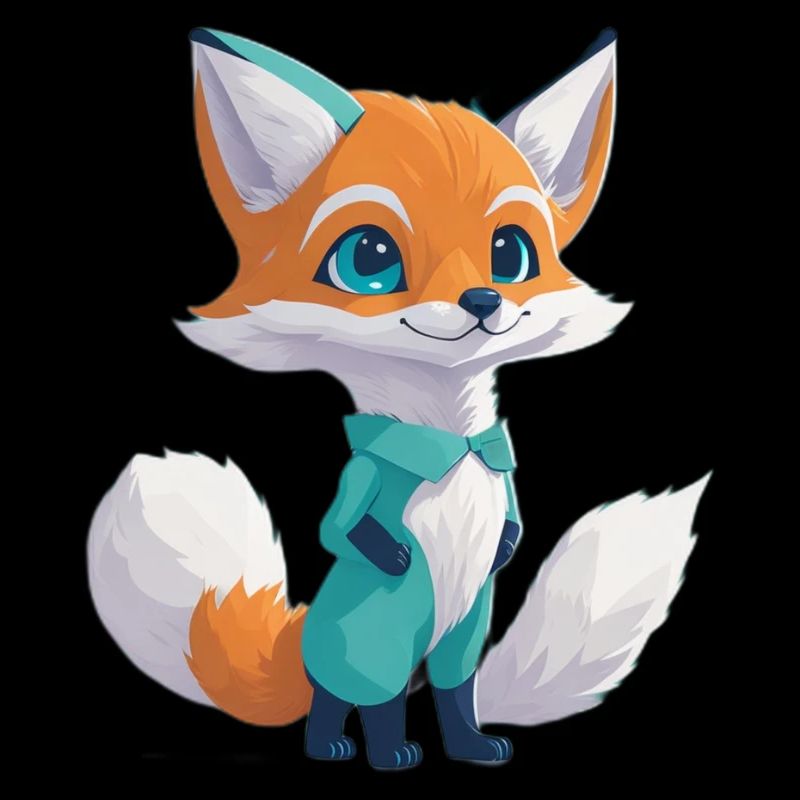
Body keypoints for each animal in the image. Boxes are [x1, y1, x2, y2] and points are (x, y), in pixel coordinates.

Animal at [87, 27, 710, 769]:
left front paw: (503, 550)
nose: (483, 299)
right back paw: (358, 751)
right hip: (376, 641)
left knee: (446, 686)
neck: (454, 440)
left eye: (510, 254)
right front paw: (391, 554)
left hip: (459, 630)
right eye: (370, 258)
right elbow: (336, 527)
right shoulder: (360, 482)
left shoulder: (496, 499)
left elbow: (504, 546)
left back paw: (468, 746)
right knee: (358, 702)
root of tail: (303, 650)